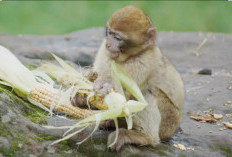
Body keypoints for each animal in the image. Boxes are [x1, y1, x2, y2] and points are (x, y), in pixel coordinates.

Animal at [92, 5, 185, 151]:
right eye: (109, 33)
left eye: (118, 38)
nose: (108, 44)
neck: (129, 56)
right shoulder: (104, 51)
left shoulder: (145, 61)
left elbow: (124, 95)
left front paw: (106, 83)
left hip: (168, 123)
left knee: (146, 93)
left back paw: (144, 137)